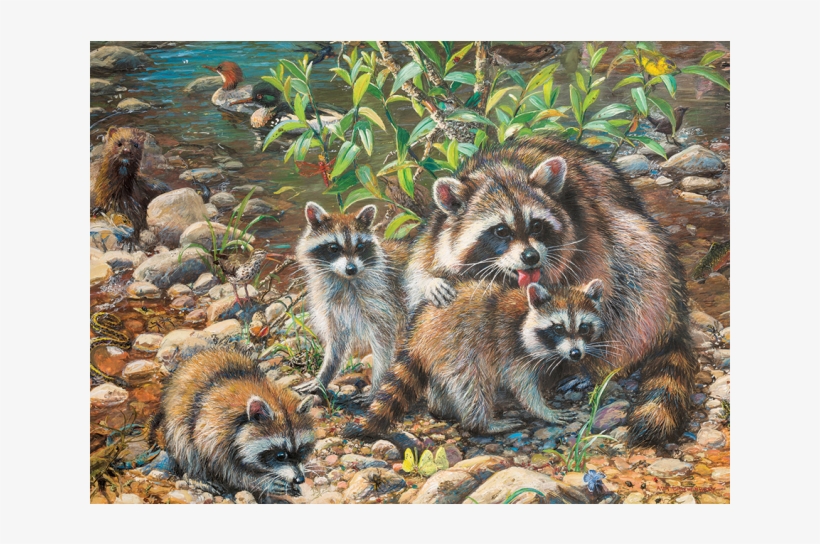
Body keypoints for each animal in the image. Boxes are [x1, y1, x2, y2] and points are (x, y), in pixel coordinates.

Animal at [149, 349, 315, 498]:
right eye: (281, 455)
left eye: (302, 450)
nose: (300, 479)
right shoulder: (212, 431)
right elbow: (227, 470)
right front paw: (262, 482)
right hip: (177, 421)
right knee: (185, 446)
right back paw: (195, 475)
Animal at [293, 202, 408, 397]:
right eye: (333, 248)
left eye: (360, 247)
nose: (351, 269)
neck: (345, 280)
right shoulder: (332, 308)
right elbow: (336, 346)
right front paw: (323, 376)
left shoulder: (383, 300)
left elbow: (383, 343)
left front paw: (377, 384)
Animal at [344, 279, 608, 441]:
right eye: (558, 328)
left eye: (584, 328)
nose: (576, 354)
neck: (526, 313)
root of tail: (418, 334)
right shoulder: (511, 348)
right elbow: (522, 384)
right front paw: (543, 410)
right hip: (459, 346)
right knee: (470, 384)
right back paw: (480, 423)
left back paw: (442, 408)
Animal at [405, 137, 698, 445]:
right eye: (501, 231)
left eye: (536, 225)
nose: (531, 257)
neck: (500, 169)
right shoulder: (437, 230)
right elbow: (421, 266)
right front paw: (431, 281)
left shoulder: (587, 231)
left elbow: (600, 288)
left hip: (646, 255)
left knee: (638, 284)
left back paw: (600, 364)